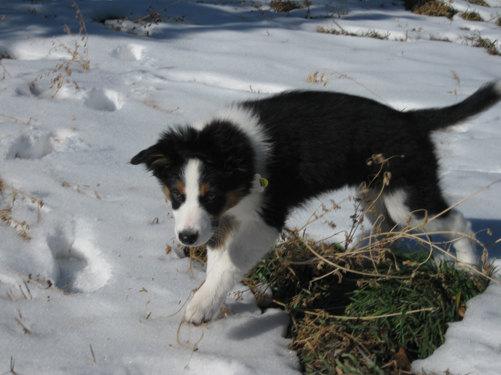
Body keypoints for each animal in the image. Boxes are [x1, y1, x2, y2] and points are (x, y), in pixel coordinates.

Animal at [131, 82, 498, 326]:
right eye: (176, 195)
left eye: (211, 195)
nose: (187, 238)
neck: (240, 152)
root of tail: (412, 120)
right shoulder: (224, 220)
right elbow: (219, 262)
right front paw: (212, 302)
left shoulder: (264, 218)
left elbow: (232, 262)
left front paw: (200, 307)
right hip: (373, 192)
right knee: (386, 228)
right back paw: (366, 260)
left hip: (407, 201)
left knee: (456, 220)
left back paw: (470, 269)